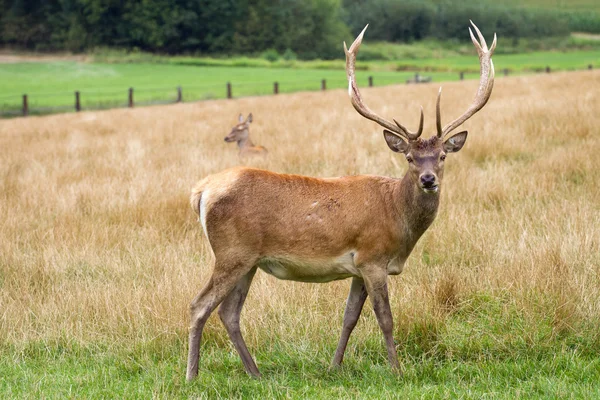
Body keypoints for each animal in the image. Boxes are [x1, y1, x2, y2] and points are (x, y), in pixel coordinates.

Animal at [189, 22, 496, 382]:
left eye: (443, 156)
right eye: (409, 157)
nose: (428, 179)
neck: (398, 220)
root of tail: (201, 191)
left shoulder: (358, 267)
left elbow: (349, 317)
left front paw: (334, 366)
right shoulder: (372, 257)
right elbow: (385, 318)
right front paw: (397, 370)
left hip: (248, 260)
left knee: (229, 312)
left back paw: (256, 373)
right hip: (231, 252)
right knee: (199, 305)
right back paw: (192, 375)